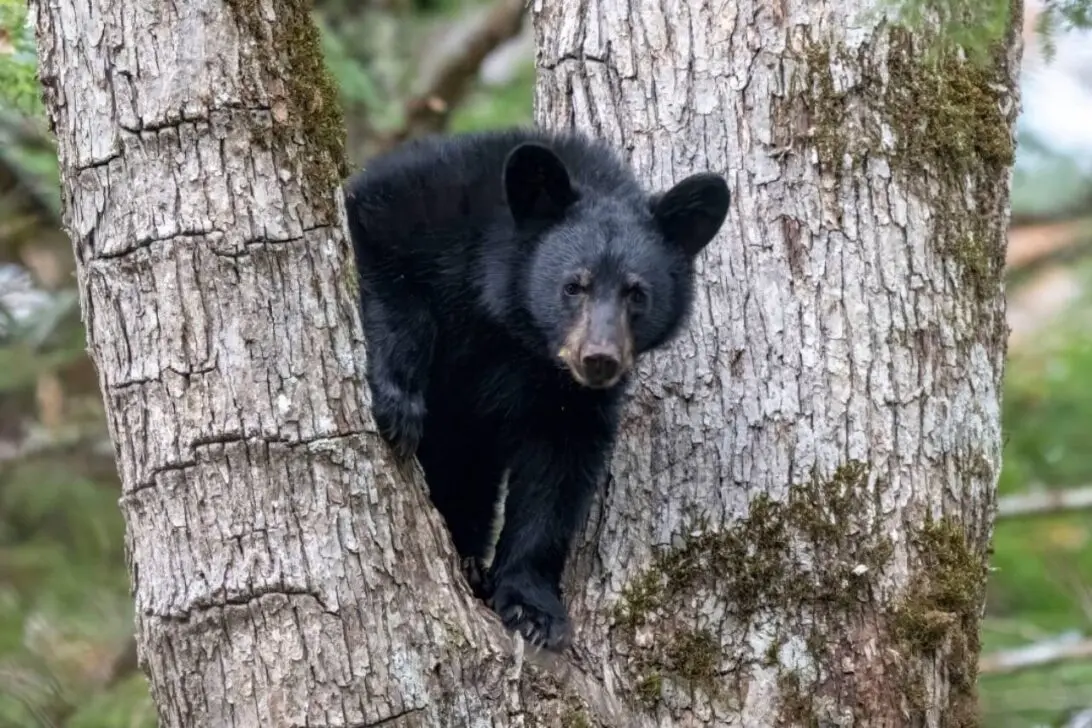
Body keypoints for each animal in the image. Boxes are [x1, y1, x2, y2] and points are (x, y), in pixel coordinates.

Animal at [343, 127, 730, 650]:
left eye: (637, 293)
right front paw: (398, 402)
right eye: (573, 286)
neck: (512, 329)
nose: (599, 359)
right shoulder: (412, 209)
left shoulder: (566, 397)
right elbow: (384, 276)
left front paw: (532, 608)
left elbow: (556, 474)